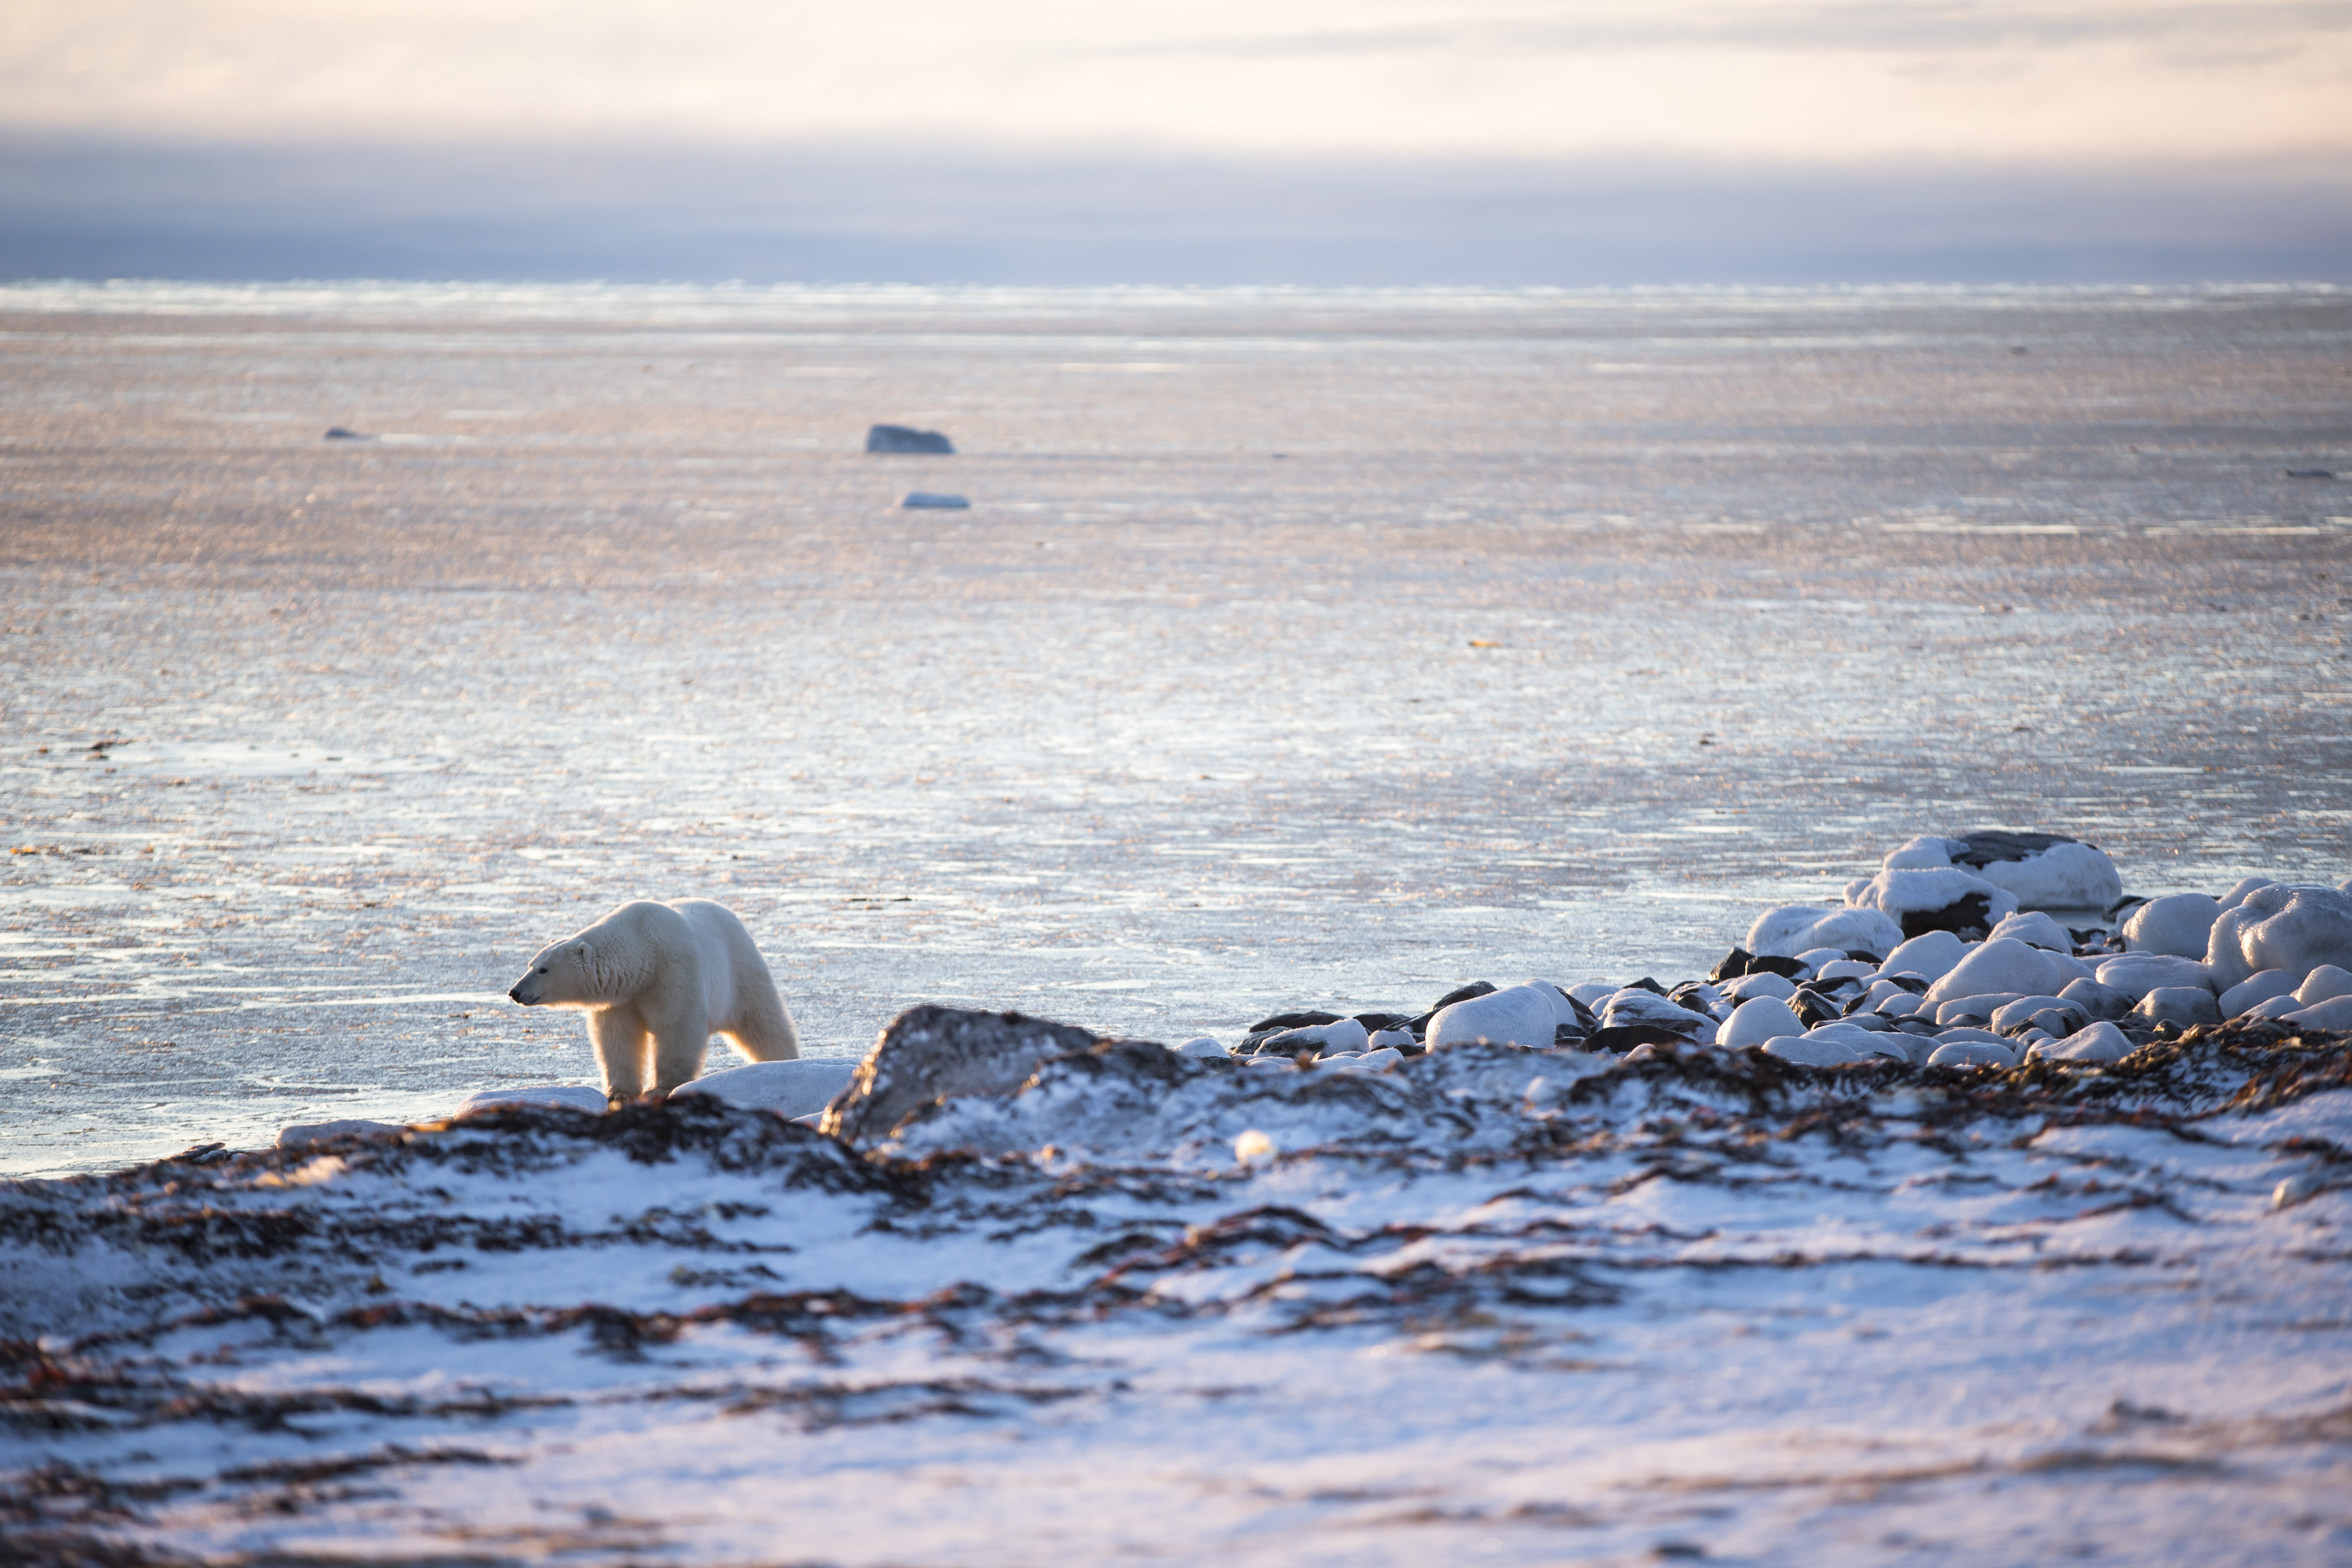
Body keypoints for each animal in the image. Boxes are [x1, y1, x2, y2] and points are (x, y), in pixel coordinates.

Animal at [507, 900, 799, 1104]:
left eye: (544, 969)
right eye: (531, 964)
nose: (515, 992)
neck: (643, 952)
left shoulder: (674, 971)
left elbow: (678, 1026)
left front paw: (661, 1088)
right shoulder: (621, 998)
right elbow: (618, 1037)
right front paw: (619, 1093)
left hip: (740, 970)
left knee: (764, 1022)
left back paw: (784, 1062)